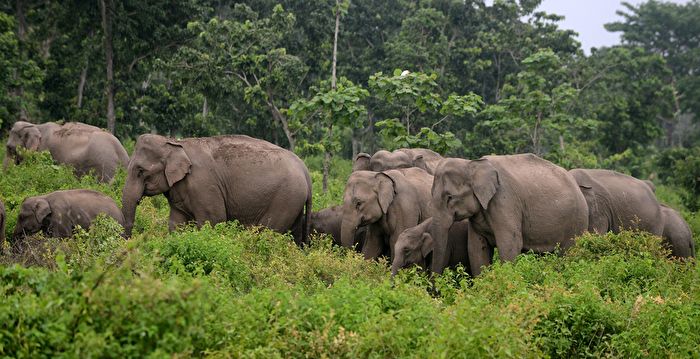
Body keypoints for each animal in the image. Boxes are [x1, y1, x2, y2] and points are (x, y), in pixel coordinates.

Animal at [121, 134, 314, 246]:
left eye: (140, 171)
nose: (128, 241)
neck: (175, 143)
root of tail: (305, 170)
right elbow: (176, 223)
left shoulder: (204, 186)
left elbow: (213, 219)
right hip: (294, 202)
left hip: (285, 199)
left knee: (268, 233)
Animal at [430, 154, 588, 276]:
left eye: (450, 197)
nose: (434, 291)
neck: (472, 163)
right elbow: (476, 247)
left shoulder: (505, 200)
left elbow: (510, 244)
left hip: (577, 221)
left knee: (569, 252)